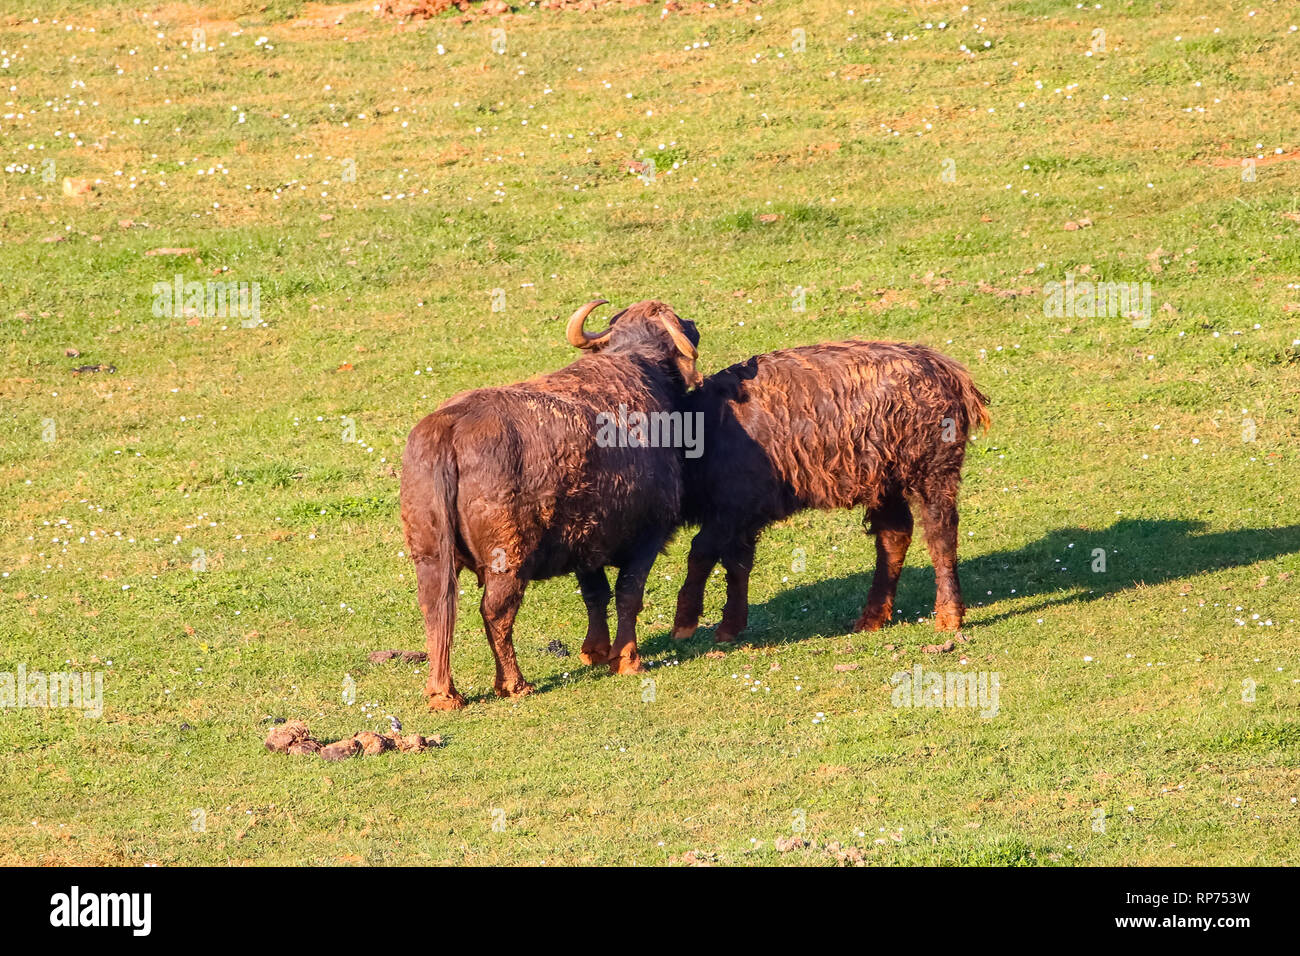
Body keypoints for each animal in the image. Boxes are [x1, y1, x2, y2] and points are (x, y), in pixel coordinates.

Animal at [400, 300, 702, 712]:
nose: (694, 324)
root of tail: (450, 427)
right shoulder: (646, 538)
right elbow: (628, 595)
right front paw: (626, 659)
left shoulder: (586, 545)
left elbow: (596, 595)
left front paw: (595, 652)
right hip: (508, 561)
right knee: (496, 612)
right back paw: (514, 684)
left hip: (430, 556)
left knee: (437, 610)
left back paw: (444, 693)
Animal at [670, 340, 982, 647]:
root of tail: (944, 369)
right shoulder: (742, 522)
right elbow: (736, 566)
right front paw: (729, 628)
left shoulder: (732, 512)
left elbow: (701, 552)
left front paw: (683, 624)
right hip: (885, 487)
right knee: (895, 536)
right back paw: (870, 618)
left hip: (933, 477)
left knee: (941, 537)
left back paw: (949, 617)